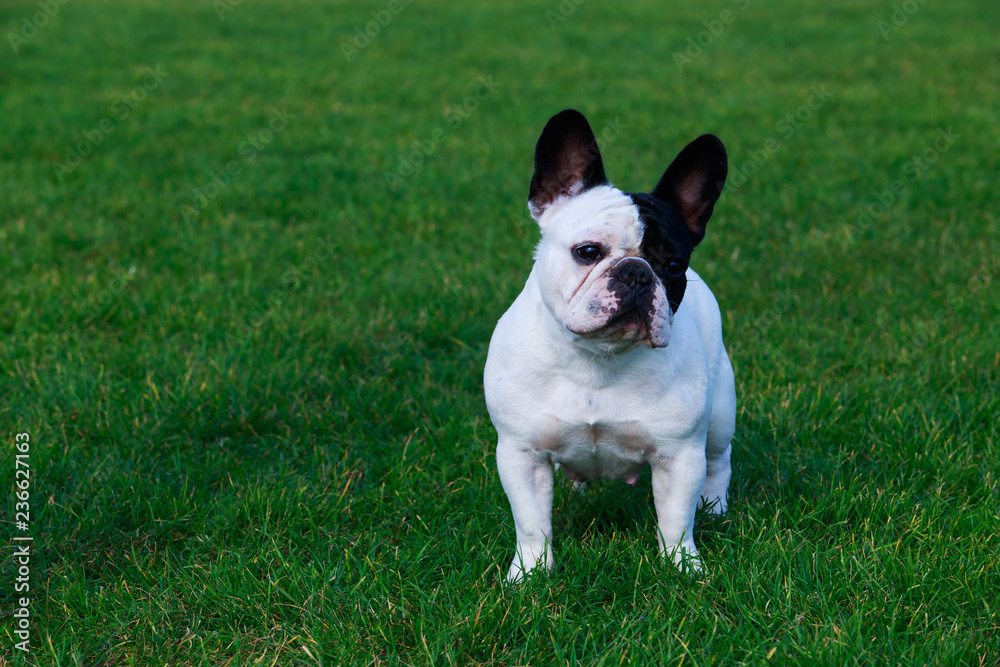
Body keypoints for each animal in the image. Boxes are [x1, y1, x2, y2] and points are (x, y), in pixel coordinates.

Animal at [482, 109, 736, 584]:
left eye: (675, 265)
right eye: (587, 251)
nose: (636, 272)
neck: (597, 360)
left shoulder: (679, 455)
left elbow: (676, 520)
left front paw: (683, 568)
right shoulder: (521, 452)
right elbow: (531, 523)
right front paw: (529, 575)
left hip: (721, 413)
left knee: (719, 459)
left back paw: (714, 505)